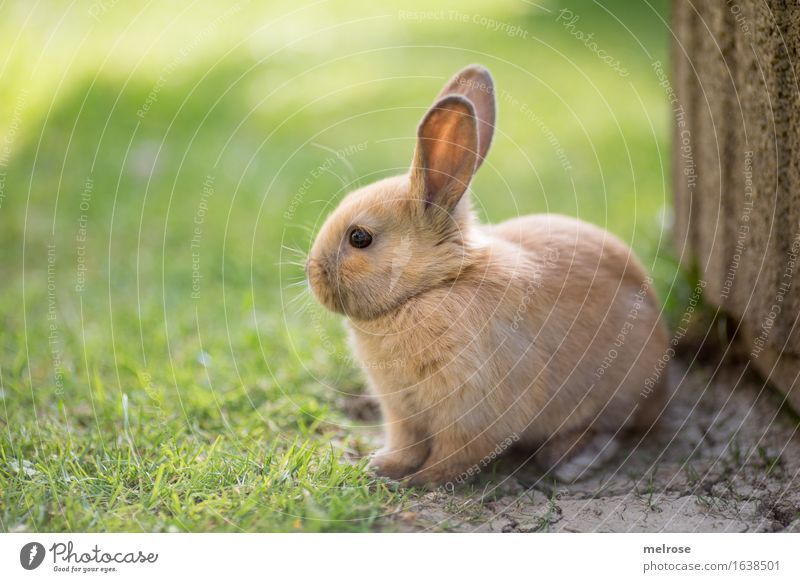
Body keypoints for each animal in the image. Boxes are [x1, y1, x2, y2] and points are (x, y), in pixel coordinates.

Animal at [306, 65, 668, 488]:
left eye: (359, 238)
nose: (312, 275)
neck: (434, 286)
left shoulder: (470, 412)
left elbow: (454, 455)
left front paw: (419, 481)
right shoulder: (402, 413)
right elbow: (406, 445)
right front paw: (383, 467)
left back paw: (576, 458)